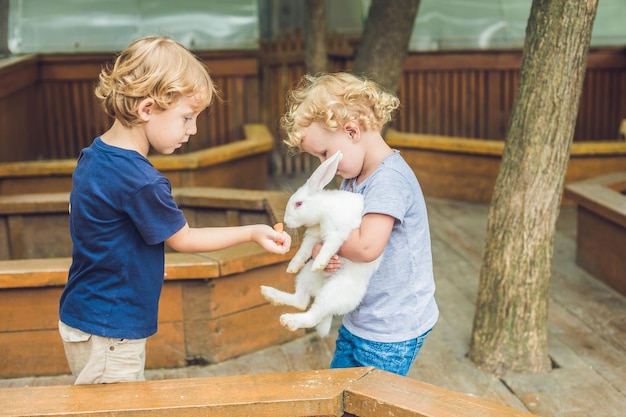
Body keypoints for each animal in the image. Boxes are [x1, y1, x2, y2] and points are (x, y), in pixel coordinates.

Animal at [260, 151, 380, 336]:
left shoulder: (336, 234)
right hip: (305, 277)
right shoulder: (312, 238)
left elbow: (328, 248)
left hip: (333, 293)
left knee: (312, 315)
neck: (324, 209)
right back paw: (269, 294)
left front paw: (319, 264)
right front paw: (291, 267)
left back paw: (289, 321)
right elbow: (303, 251)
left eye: (299, 203)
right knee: (301, 301)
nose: (286, 221)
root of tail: (320, 287)